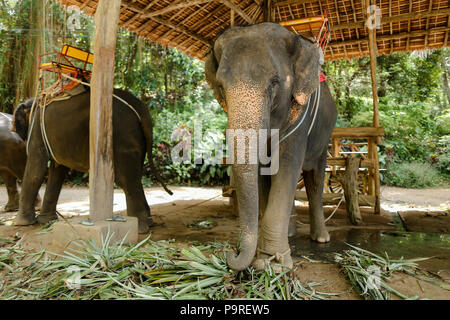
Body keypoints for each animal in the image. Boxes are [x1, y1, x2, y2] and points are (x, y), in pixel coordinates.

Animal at [11, 87, 172, 232]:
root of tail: (141, 109)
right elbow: (58, 170)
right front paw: (46, 221)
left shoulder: (37, 130)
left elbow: (36, 168)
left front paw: (20, 223)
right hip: (138, 140)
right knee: (134, 175)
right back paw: (147, 222)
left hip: (122, 135)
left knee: (126, 179)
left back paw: (140, 227)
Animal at [206, 22, 336, 272]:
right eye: (221, 86)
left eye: (275, 83)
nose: (231, 254)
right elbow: (263, 175)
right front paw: (265, 258)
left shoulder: (300, 114)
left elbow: (286, 166)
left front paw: (274, 264)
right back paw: (291, 233)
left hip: (324, 138)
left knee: (314, 178)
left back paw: (322, 238)